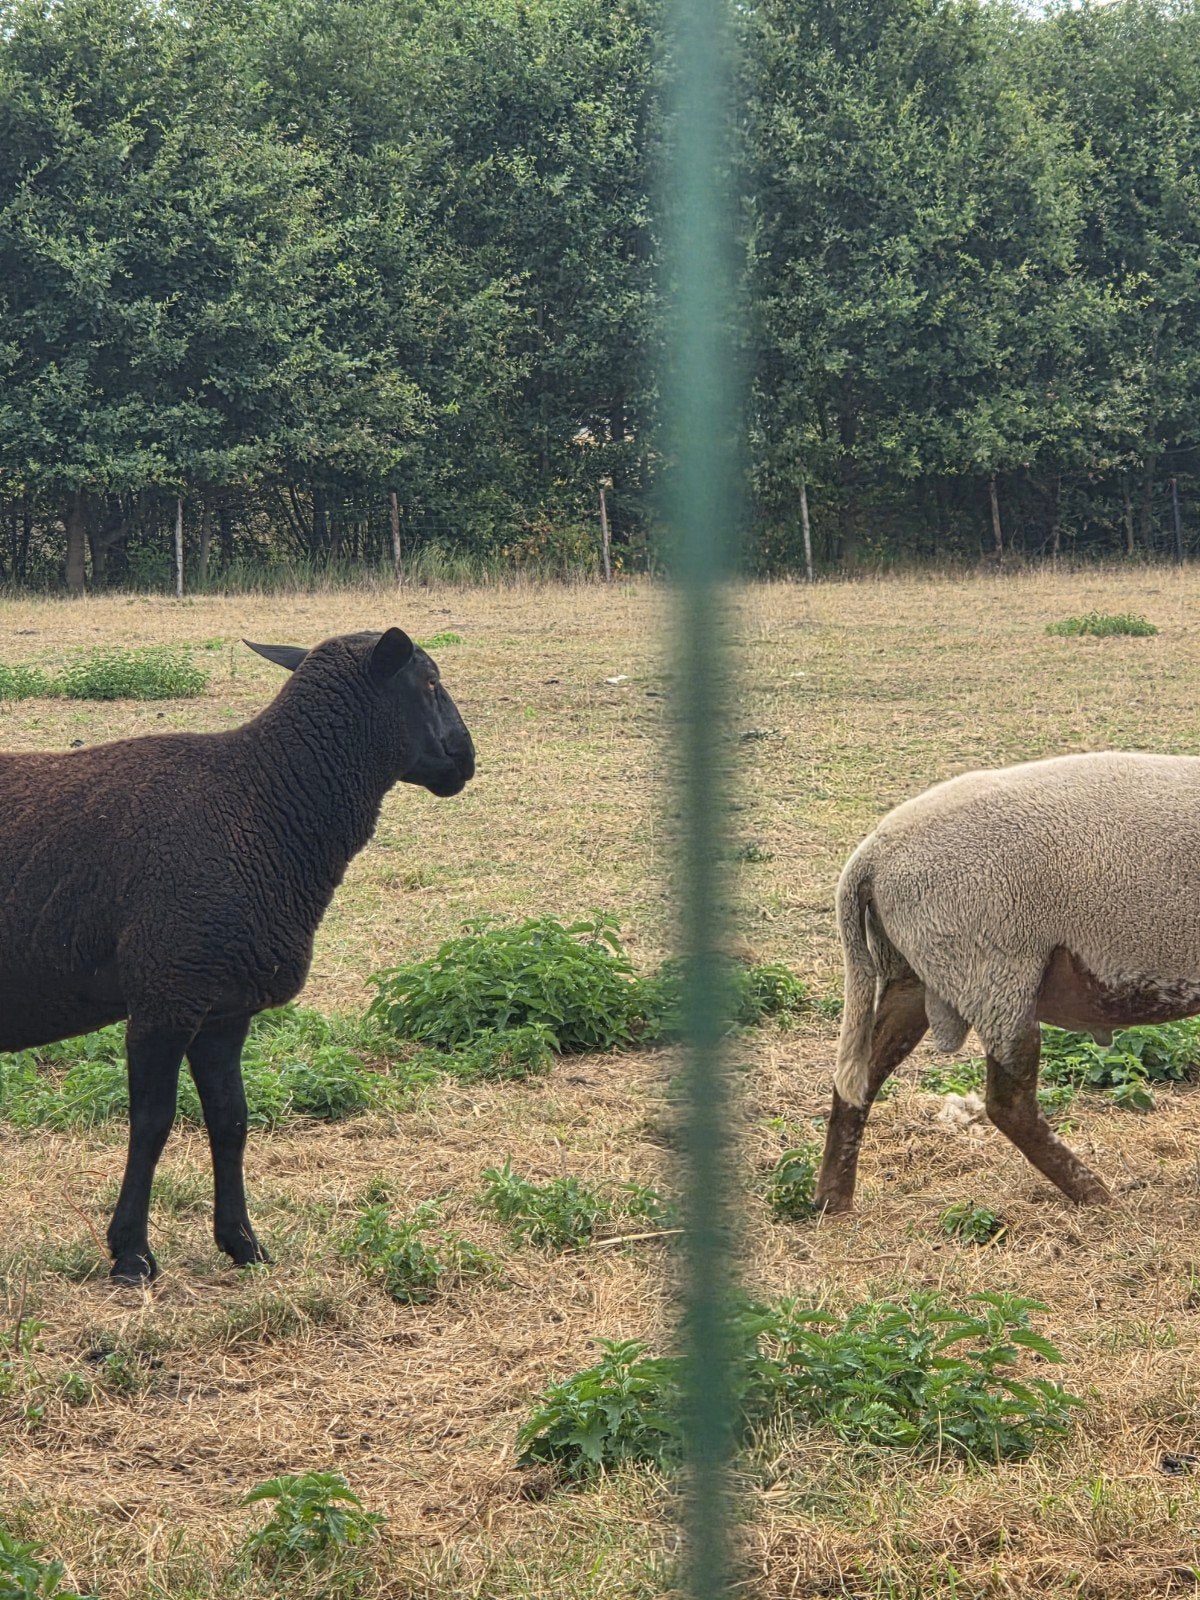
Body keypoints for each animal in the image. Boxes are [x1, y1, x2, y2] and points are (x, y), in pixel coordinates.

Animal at [0, 628, 475, 1282]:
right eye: (429, 683)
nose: (466, 760)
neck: (263, 803)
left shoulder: (223, 1007)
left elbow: (231, 1120)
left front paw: (243, 1244)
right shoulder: (166, 994)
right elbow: (152, 1122)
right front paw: (132, 1255)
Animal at [813, 751, 1200, 1214]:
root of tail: (871, 856)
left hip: (916, 970)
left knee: (859, 1079)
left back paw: (832, 1201)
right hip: (995, 971)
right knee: (1009, 1104)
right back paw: (1095, 1194)